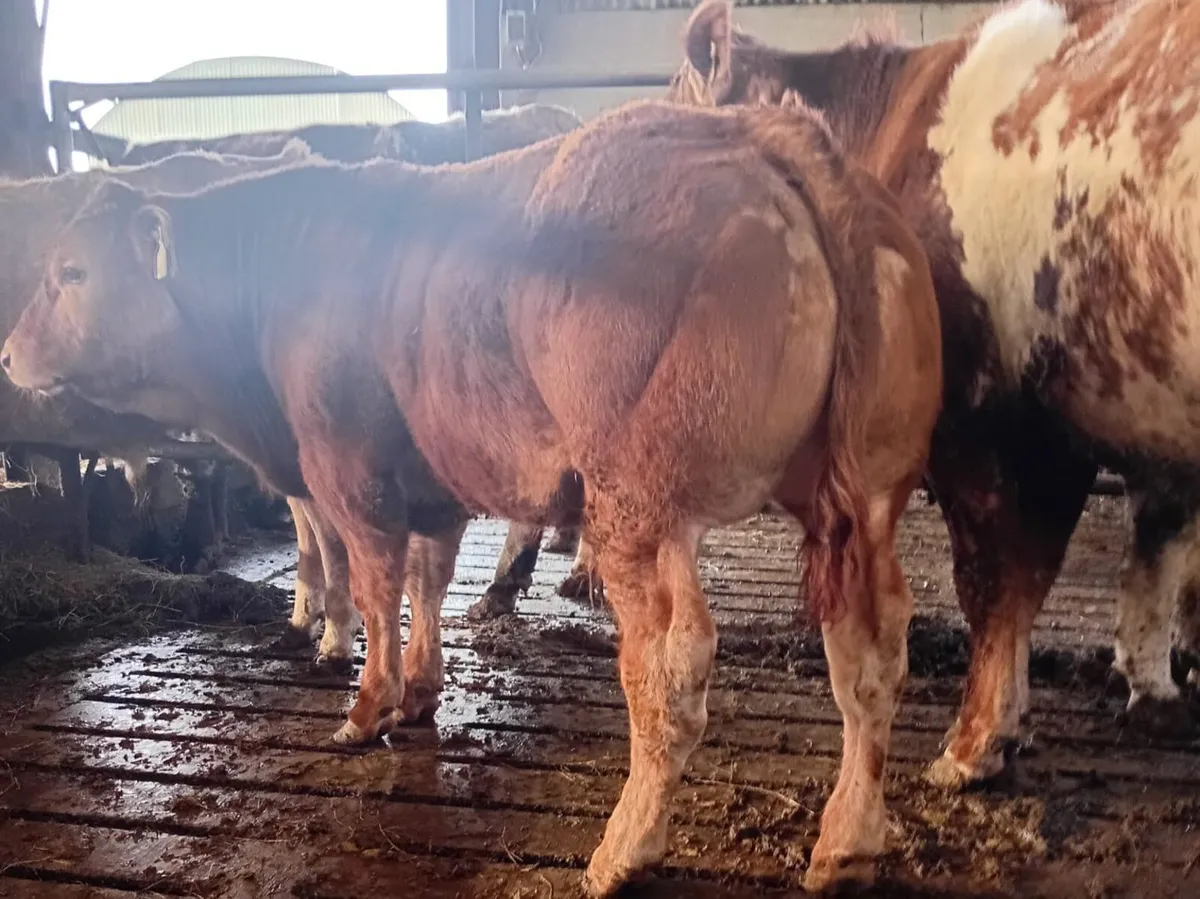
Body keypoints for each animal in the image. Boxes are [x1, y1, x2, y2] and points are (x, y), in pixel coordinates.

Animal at [0, 99, 942, 895]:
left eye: (72, 272)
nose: (8, 354)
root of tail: (760, 131)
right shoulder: (432, 484)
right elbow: (427, 580)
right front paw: (421, 690)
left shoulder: (349, 472)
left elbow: (376, 588)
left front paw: (367, 706)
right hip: (867, 495)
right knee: (870, 652)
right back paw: (847, 842)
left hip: (641, 506)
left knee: (671, 665)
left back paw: (624, 847)